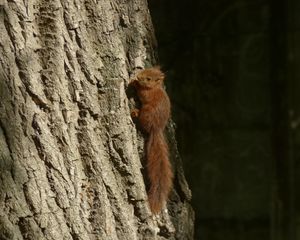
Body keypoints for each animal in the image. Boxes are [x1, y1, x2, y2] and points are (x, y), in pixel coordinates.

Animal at [129, 66, 173, 214]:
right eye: (146, 69)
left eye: (148, 79)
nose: (139, 76)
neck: (155, 88)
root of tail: (156, 129)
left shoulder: (148, 95)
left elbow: (142, 94)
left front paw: (135, 83)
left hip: (146, 114)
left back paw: (135, 113)